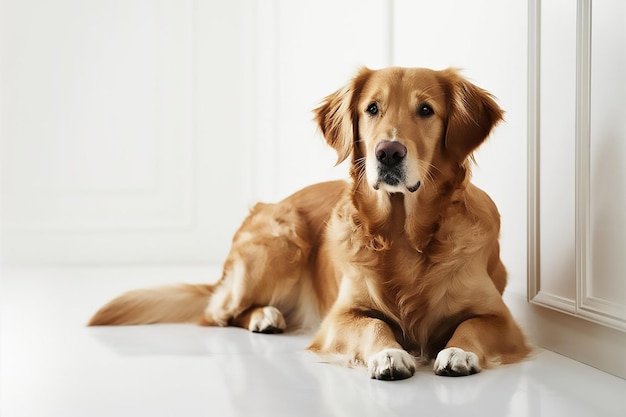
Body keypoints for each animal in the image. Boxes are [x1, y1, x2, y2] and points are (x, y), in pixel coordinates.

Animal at [89, 66, 528, 380]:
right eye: (372, 109)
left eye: (426, 110)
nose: (388, 152)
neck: (403, 233)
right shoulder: (340, 316)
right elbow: (373, 327)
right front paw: (390, 354)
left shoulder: (502, 318)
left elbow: (472, 326)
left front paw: (457, 350)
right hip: (282, 241)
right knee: (218, 313)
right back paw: (264, 316)